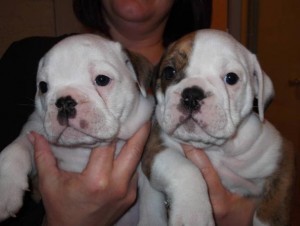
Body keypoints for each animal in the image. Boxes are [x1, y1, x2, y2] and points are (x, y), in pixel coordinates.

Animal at [0, 33, 155, 224]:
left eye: (102, 80)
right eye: (43, 87)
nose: (64, 102)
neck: (84, 148)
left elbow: (151, 206)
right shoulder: (34, 131)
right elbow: (17, 147)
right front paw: (6, 188)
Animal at [139, 28, 296, 226]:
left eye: (231, 78)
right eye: (169, 72)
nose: (192, 95)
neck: (215, 149)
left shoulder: (282, 158)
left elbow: (272, 209)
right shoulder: (155, 149)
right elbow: (185, 169)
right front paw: (193, 214)